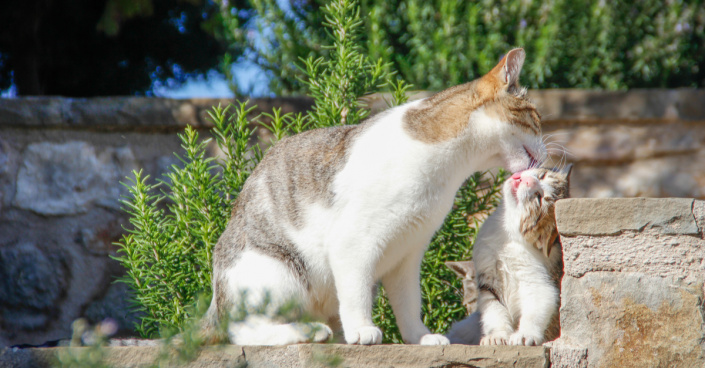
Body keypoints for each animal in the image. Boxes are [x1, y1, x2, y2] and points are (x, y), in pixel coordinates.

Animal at [204, 48, 544, 344]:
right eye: (536, 119)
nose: (546, 150)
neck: (448, 172)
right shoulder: (353, 242)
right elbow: (355, 294)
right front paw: (361, 329)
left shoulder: (408, 252)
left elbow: (409, 303)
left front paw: (419, 337)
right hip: (281, 273)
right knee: (242, 331)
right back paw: (308, 331)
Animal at [446, 164, 572, 344]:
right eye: (542, 176)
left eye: (538, 198)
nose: (528, 180)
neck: (505, 234)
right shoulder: (488, 281)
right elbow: (494, 311)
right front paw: (497, 335)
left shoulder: (538, 280)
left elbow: (538, 303)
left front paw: (526, 334)